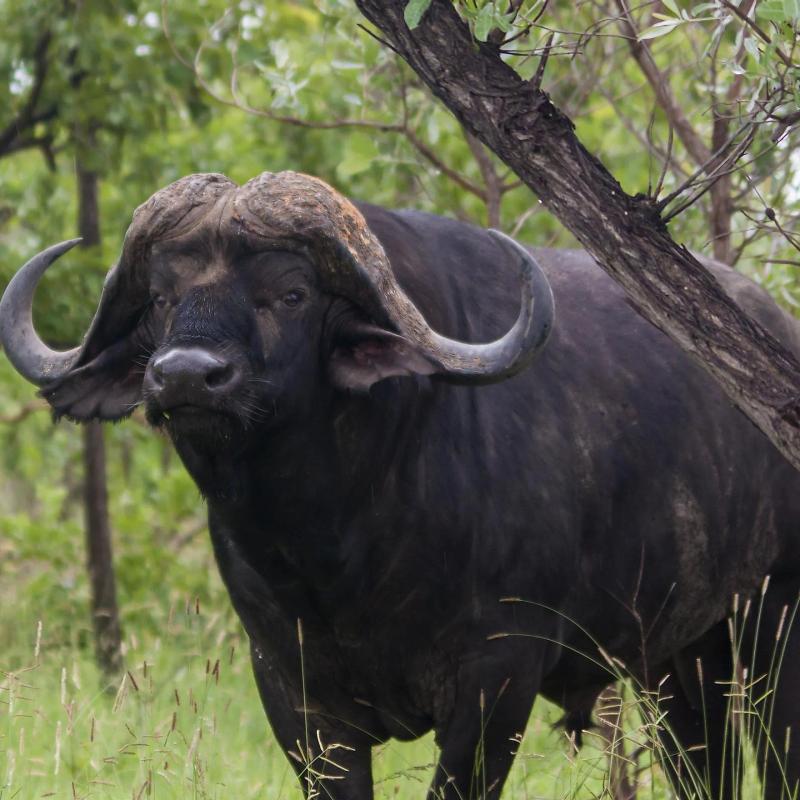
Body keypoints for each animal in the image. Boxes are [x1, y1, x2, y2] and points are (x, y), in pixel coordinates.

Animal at [2, 170, 799, 799]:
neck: (341, 546)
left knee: (775, 754)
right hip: (678, 659)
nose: (187, 376)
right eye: (162, 297)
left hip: (773, 626)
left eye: (290, 293)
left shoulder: (496, 682)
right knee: (704, 762)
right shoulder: (294, 694)